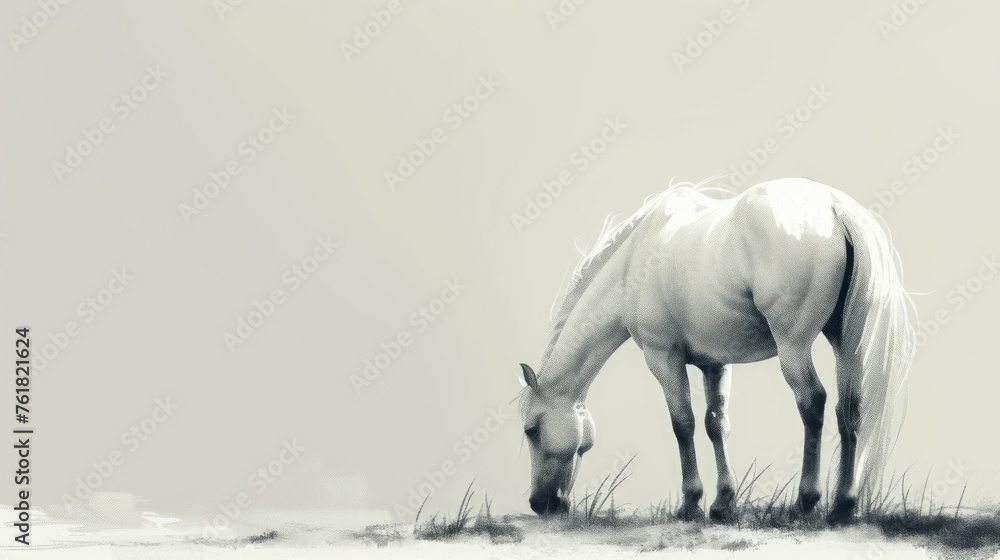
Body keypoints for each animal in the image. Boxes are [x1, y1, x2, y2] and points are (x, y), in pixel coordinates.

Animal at [518, 177, 916, 523]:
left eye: (531, 430)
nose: (540, 504)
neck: (634, 263)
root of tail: (834, 207)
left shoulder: (663, 358)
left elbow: (683, 424)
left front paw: (692, 503)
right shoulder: (716, 363)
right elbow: (715, 425)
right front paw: (723, 503)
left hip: (794, 345)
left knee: (813, 402)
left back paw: (806, 501)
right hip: (847, 344)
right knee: (849, 409)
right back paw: (842, 506)